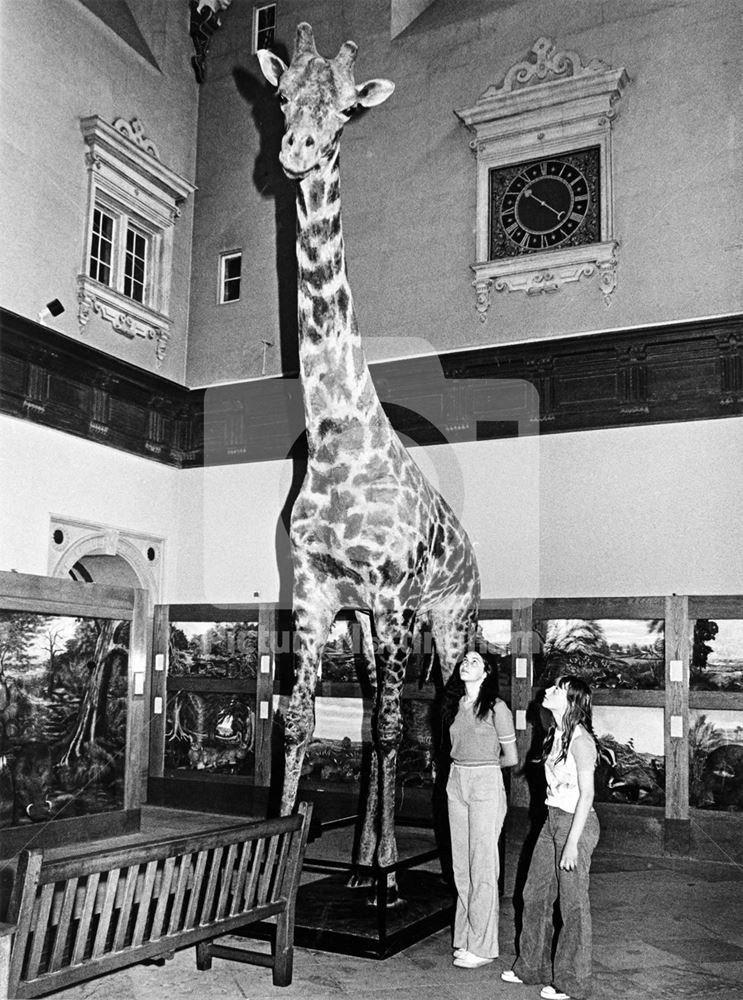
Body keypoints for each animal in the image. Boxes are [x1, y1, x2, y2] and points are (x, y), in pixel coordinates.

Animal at [258, 23, 482, 900]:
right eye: (282, 97)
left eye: (349, 111)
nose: (296, 151)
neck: (335, 437)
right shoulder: (317, 593)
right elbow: (297, 719)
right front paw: (279, 881)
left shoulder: (388, 592)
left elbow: (388, 727)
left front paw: (392, 876)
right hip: (369, 624)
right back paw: (360, 865)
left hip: (446, 614)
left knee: (430, 717)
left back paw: (419, 869)